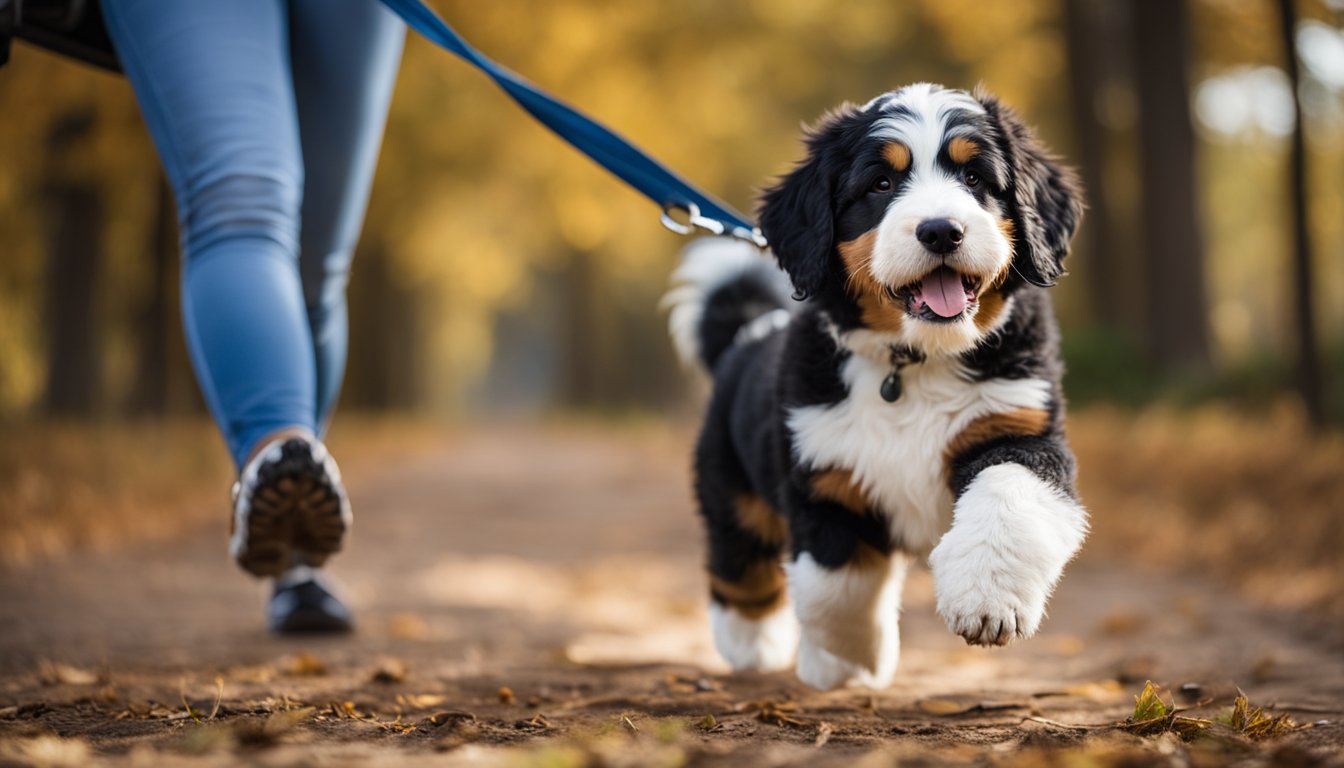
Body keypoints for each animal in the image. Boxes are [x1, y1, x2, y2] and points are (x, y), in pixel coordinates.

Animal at [663, 84, 1091, 688]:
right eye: (881, 184)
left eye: (976, 178)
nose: (941, 230)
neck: (914, 362)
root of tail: (750, 333)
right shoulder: (823, 471)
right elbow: (835, 585)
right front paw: (847, 660)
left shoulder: (1019, 429)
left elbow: (1006, 500)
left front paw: (984, 599)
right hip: (729, 483)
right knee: (739, 562)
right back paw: (752, 644)